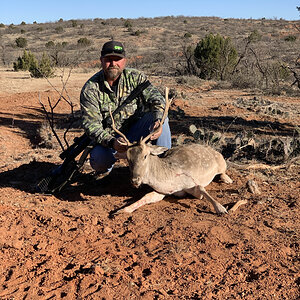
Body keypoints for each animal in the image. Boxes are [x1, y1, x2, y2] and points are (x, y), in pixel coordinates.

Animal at [109, 87, 236, 216]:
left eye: (145, 155)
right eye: (128, 158)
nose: (135, 180)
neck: (171, 182)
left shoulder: (192, 181)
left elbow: (202, 190)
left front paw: (221, 208)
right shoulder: (163, 191)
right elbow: (147, 196)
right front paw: (120, 210)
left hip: (221, 163)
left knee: (223, 172)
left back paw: (227, 180)